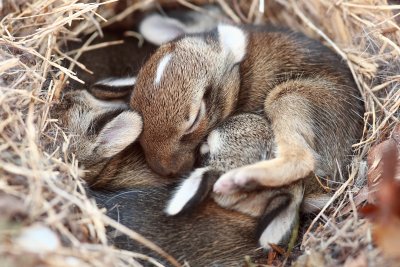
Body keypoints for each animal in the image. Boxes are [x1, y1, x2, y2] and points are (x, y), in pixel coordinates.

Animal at [127, 18, 362, 195]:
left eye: (194, 121)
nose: (164, 170)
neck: (239, 76)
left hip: (287, 98)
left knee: (302, 159)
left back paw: (238, 179)